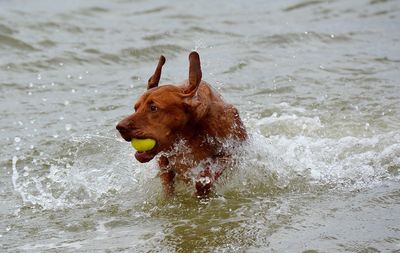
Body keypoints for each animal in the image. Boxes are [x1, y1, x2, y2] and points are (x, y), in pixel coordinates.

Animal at [115, 52, 247, 197]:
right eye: (136, 108)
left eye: (153, 108)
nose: (120, 127)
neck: (190, 132)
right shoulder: (164, 161)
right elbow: (167, 183)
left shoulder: (232, 153)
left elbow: (204, 178)